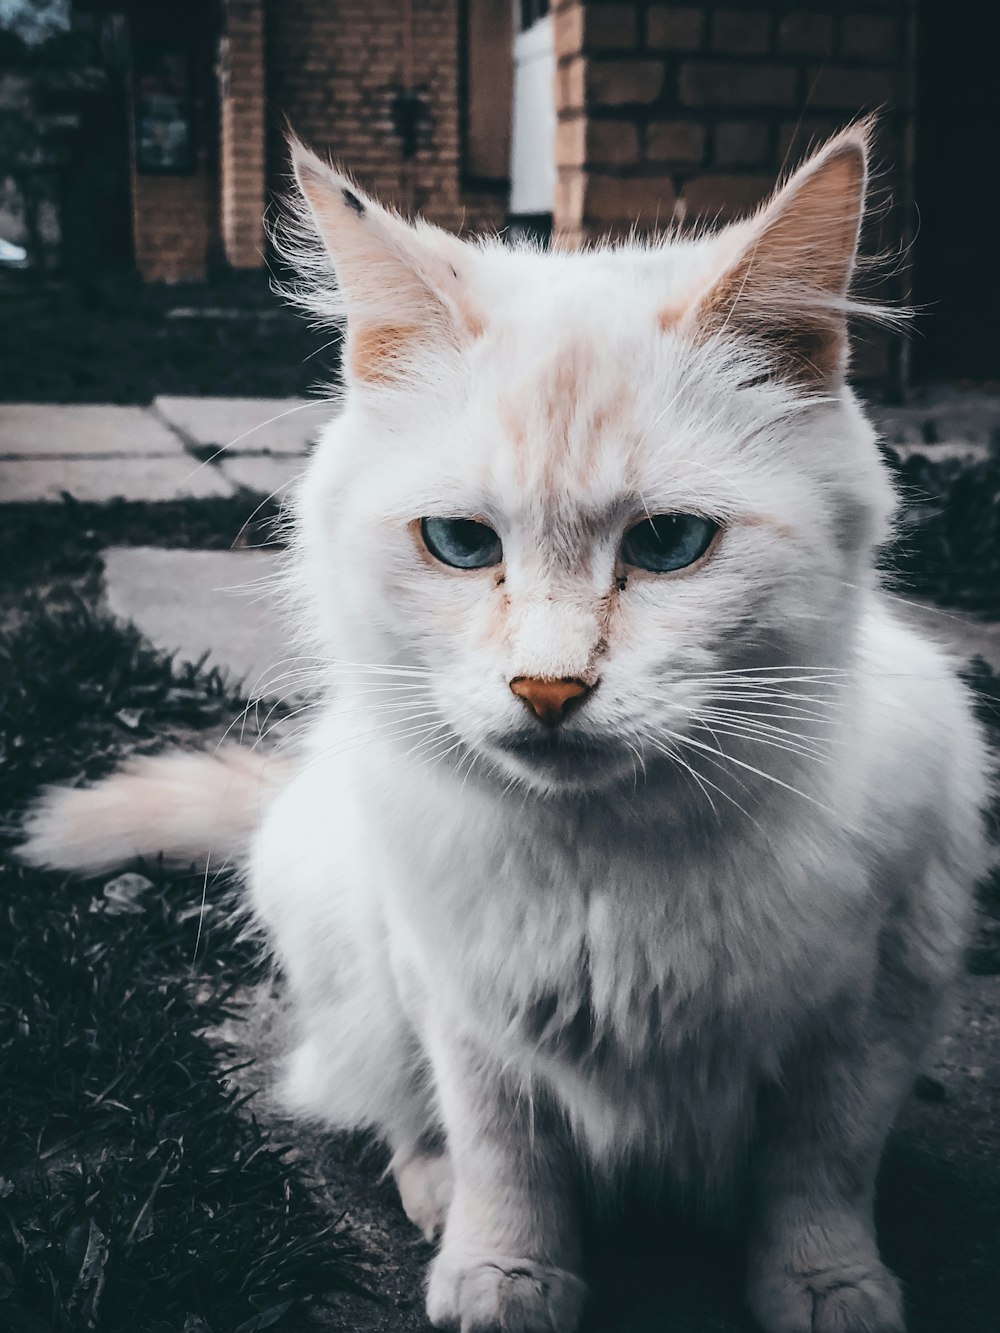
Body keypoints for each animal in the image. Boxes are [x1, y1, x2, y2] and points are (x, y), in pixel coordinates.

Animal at [23, 127, 997, 1333]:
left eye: (668, 544)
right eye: (458, 543)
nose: (547, 689)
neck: (610, 873)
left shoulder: (871, 1014)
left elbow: (819, 1171)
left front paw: (826, 1285)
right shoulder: (464, 1010)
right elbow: (506, 1153)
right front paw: (505, 1273)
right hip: (344, 937)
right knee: (395, 1109)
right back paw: (435, 1202)